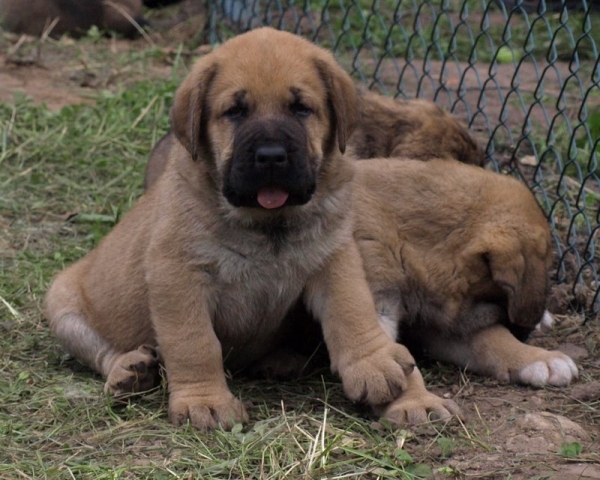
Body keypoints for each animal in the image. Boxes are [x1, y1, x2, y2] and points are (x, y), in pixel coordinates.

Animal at [45, 28, 418, 430]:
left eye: (301, 108)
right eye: (235, 112)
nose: (271, 156)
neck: (267, 224)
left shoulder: (333, 256)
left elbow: (352, 309)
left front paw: (373, 361)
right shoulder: (177, 276)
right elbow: (195, 343)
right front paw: (204, 401)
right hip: (62, 307)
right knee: (100, 352)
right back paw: (129, 370)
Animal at [354, 158, 580, 424]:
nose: (526, 333)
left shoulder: (440, 324)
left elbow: (492, 339)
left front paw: (537, 357)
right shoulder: (378, 308)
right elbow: (394, 363)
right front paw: (416, 402)